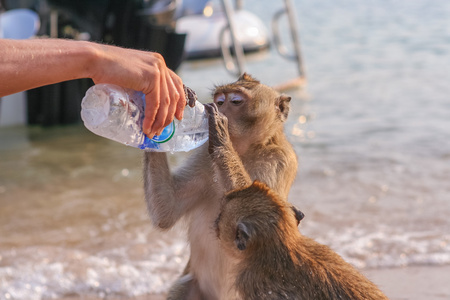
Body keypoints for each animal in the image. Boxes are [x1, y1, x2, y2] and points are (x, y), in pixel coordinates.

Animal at [144, 73, 298, 300]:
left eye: (235, 101)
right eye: (219, 100)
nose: (217, 107)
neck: (243, 151)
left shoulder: (280, 160)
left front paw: (220, 133)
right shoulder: (202, 157)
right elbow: (166, 212)